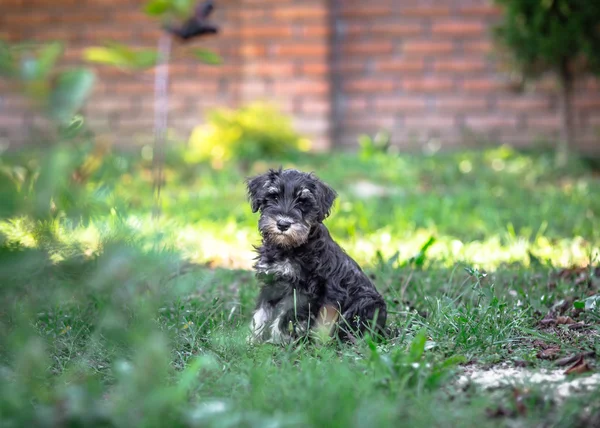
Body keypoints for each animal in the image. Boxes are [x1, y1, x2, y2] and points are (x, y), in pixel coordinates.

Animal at [246, 167, 386, 344]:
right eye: (274, 196)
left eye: (302, 201)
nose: (283, 224)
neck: (289, 248)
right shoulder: (270, 283)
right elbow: (260, 314)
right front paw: (251, 340)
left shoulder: (304, 291)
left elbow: (285, 316)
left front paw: (277, 341)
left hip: (365, 304)